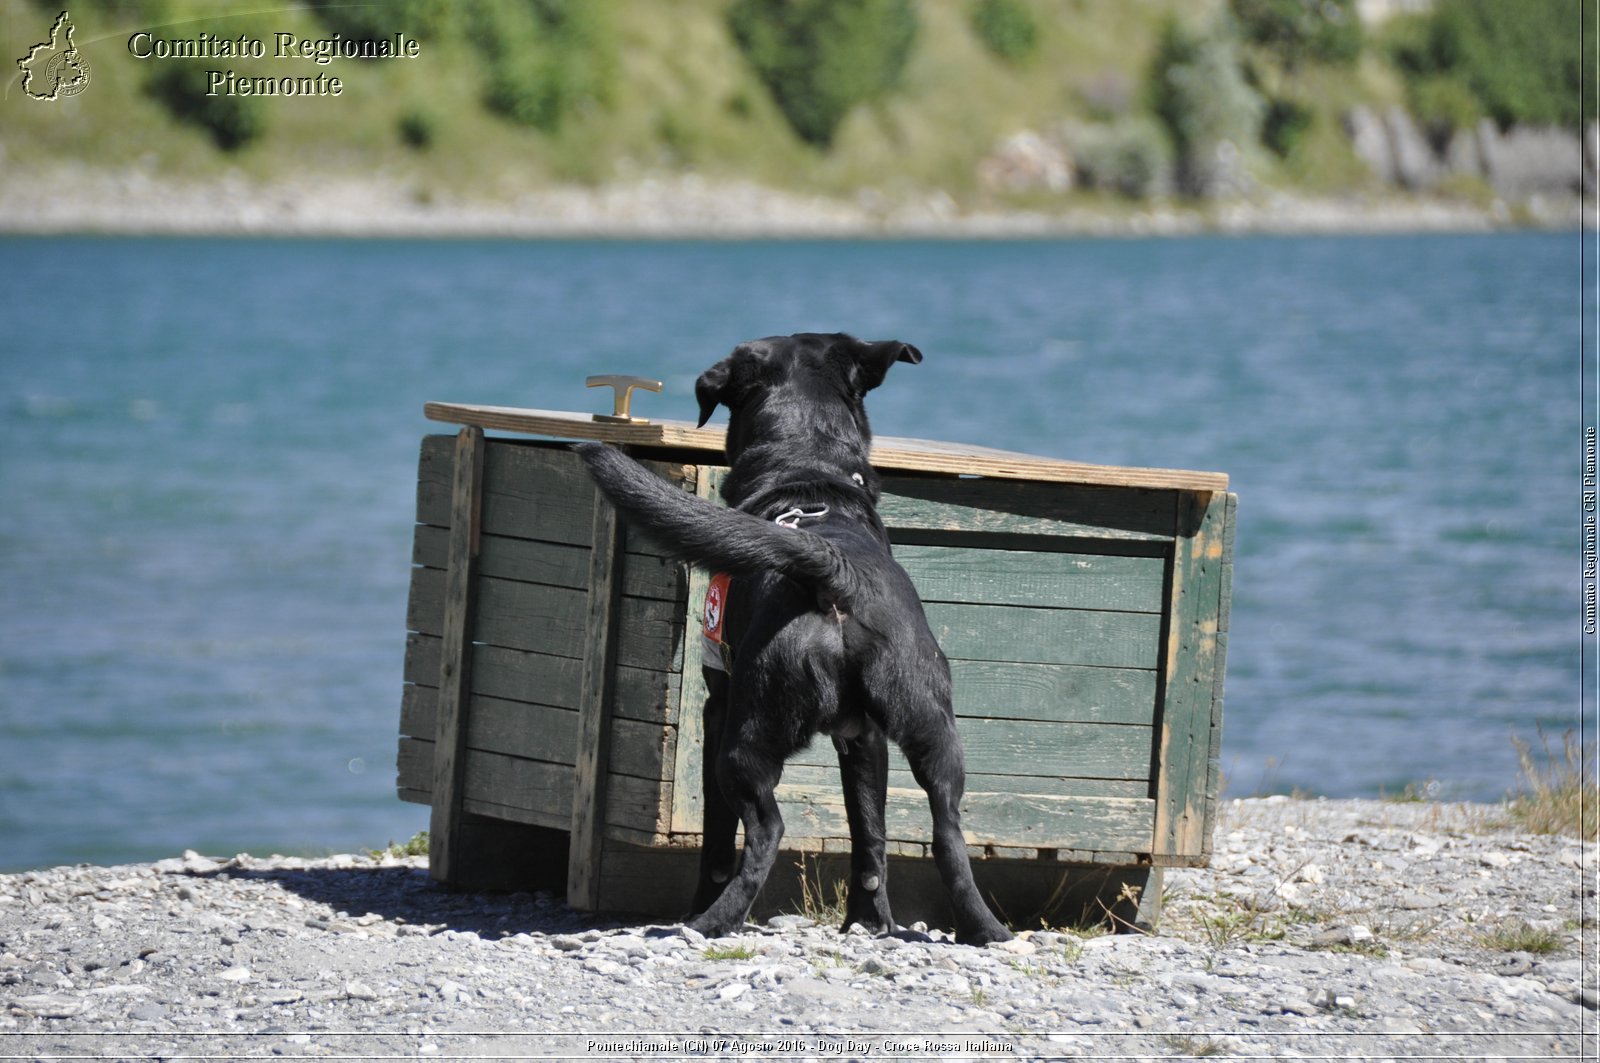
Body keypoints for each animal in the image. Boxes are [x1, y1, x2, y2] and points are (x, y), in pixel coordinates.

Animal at [579, 334, 1011, 947]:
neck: (807, 470)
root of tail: (833, 568)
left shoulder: (717, 708)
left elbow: (716, 840)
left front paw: (703, 904)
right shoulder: (864, 736)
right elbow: (869, 832)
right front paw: (869, 921)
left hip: (747, 734)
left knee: (766, 829)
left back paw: (712, 921)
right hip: (934, 727)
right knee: (947, 833)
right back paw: (979, 929)